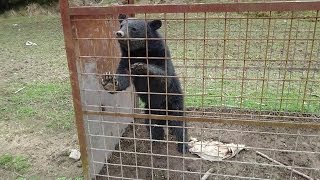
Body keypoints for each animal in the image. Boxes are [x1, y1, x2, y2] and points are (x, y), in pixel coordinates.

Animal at [102, 14, 188, 153]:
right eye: (121, 25)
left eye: (133, 28)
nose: (119, 33)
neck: (139, 51)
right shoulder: (126, 59)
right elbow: (123, 77)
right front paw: (109, 81)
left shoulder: (160, 54)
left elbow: (163, 76)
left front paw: (142, 67)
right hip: (149, 109)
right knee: (152, 124)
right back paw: (157, 139)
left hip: (174, 99)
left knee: (179, 122)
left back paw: (182, 145)